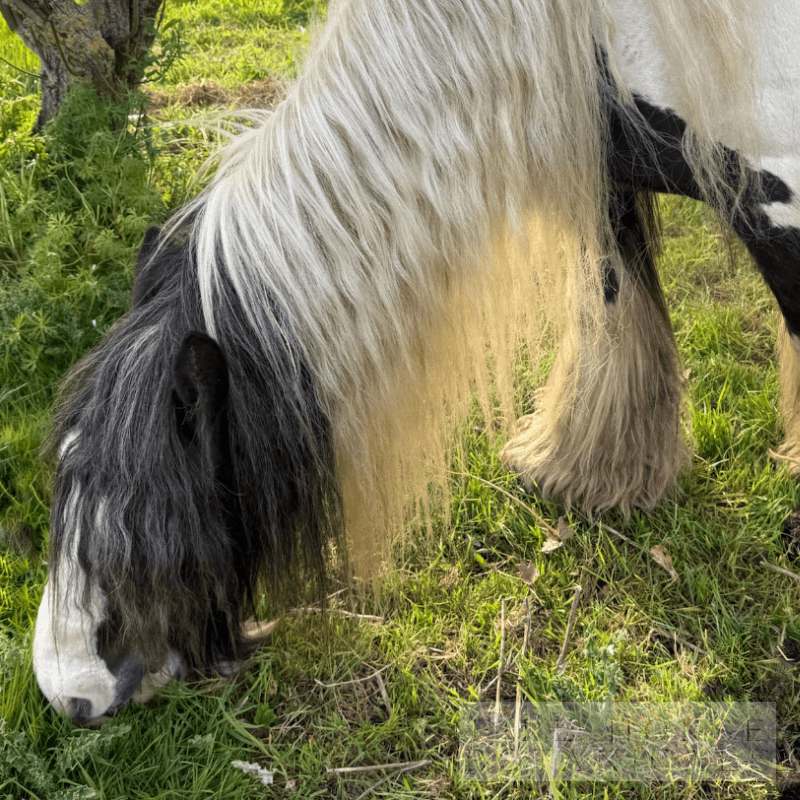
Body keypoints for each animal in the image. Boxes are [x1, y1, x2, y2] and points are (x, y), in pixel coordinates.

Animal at [32, 0, 800, 726]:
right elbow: (609, 292)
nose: (64, 689)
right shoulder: (607, 163)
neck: (593, 28)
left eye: (148, 516)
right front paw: (586, 470)